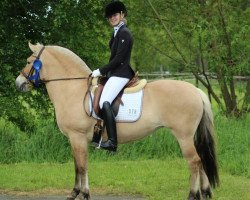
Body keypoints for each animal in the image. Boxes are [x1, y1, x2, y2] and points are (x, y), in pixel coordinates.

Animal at [15, 43, 219, 200]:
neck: (73, 89)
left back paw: (193, 194)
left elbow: (80, 166)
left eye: (29, 61)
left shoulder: (77, 137)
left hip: (183, 136)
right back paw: (205, 192)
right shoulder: (77, 140)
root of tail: (196, 91)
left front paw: (80, 193)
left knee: (194, 161)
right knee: (200, 160)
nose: (19, 83)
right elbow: (81, 166)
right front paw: (80, 193)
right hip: (190, 136)